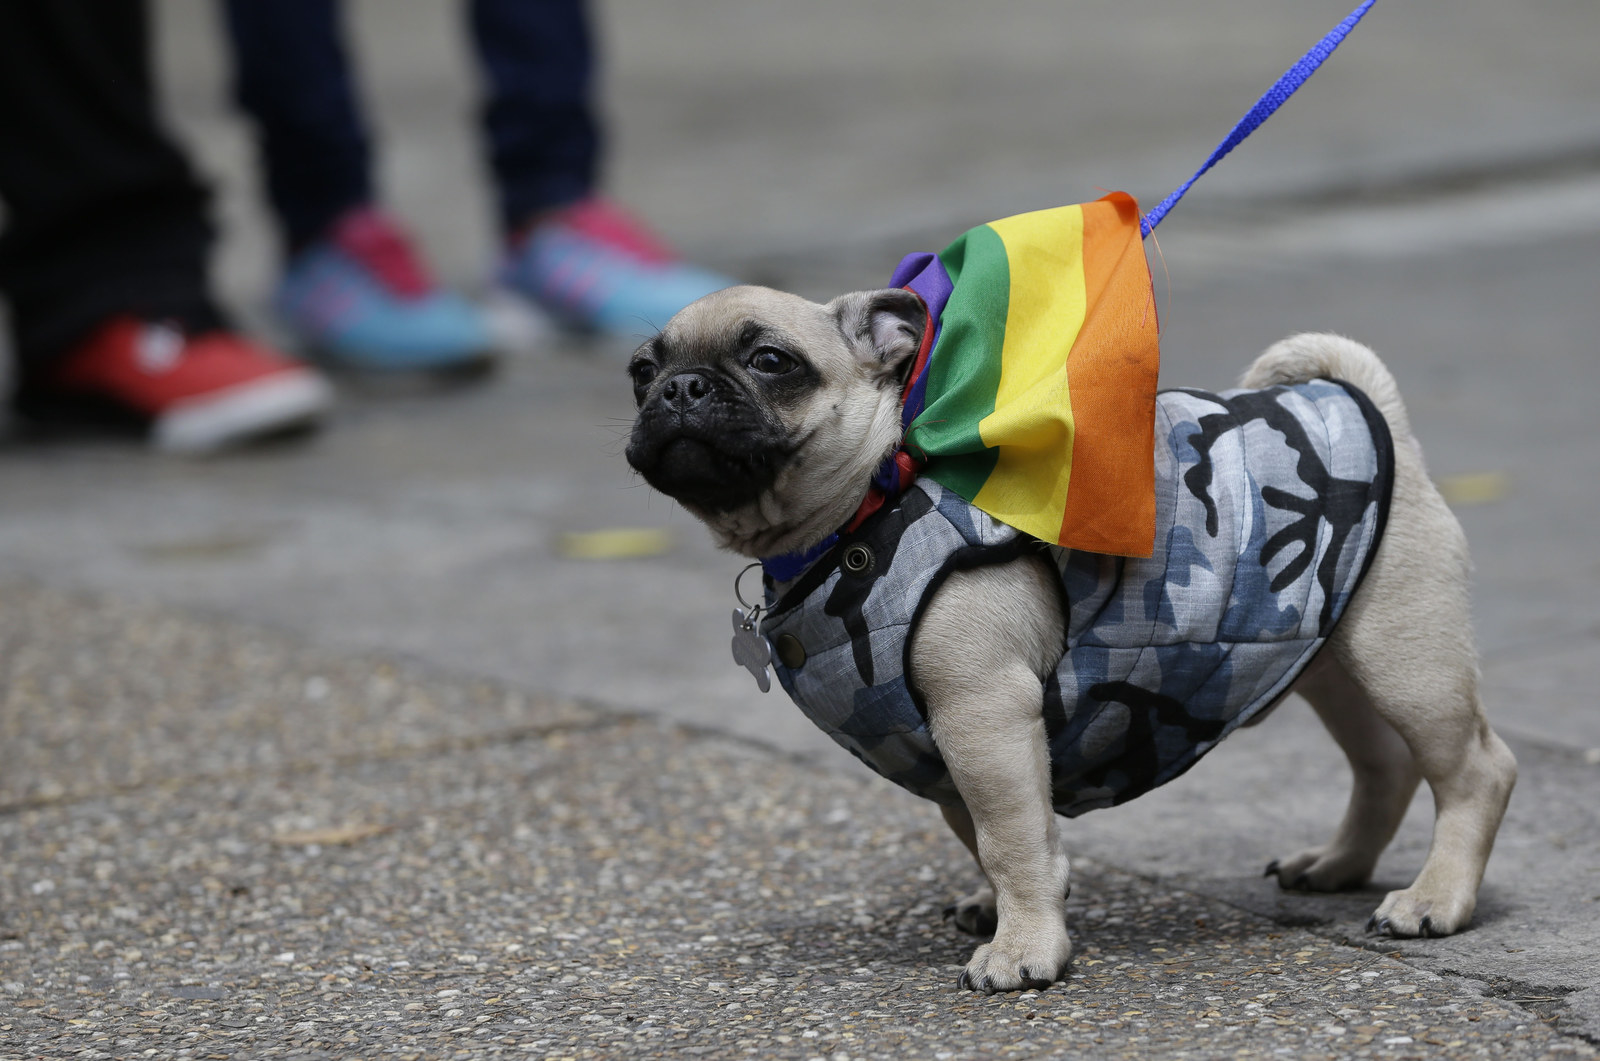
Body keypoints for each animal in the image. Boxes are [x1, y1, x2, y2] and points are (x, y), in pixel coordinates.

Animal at [617, 284, 1516, 998]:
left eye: (771, 360)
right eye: (639, 371)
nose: (679, 388)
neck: (873, 504)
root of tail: (1365, 403)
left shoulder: (980, 712)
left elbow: (1009, 837)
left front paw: (1022, 949)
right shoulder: (950, 740)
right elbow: (994, 832)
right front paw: (1014, 908)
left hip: (1405, 655)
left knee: (1475, 767)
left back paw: (1435, 899)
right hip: (1327, 655)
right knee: (1386, 763)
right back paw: (1336, 864)